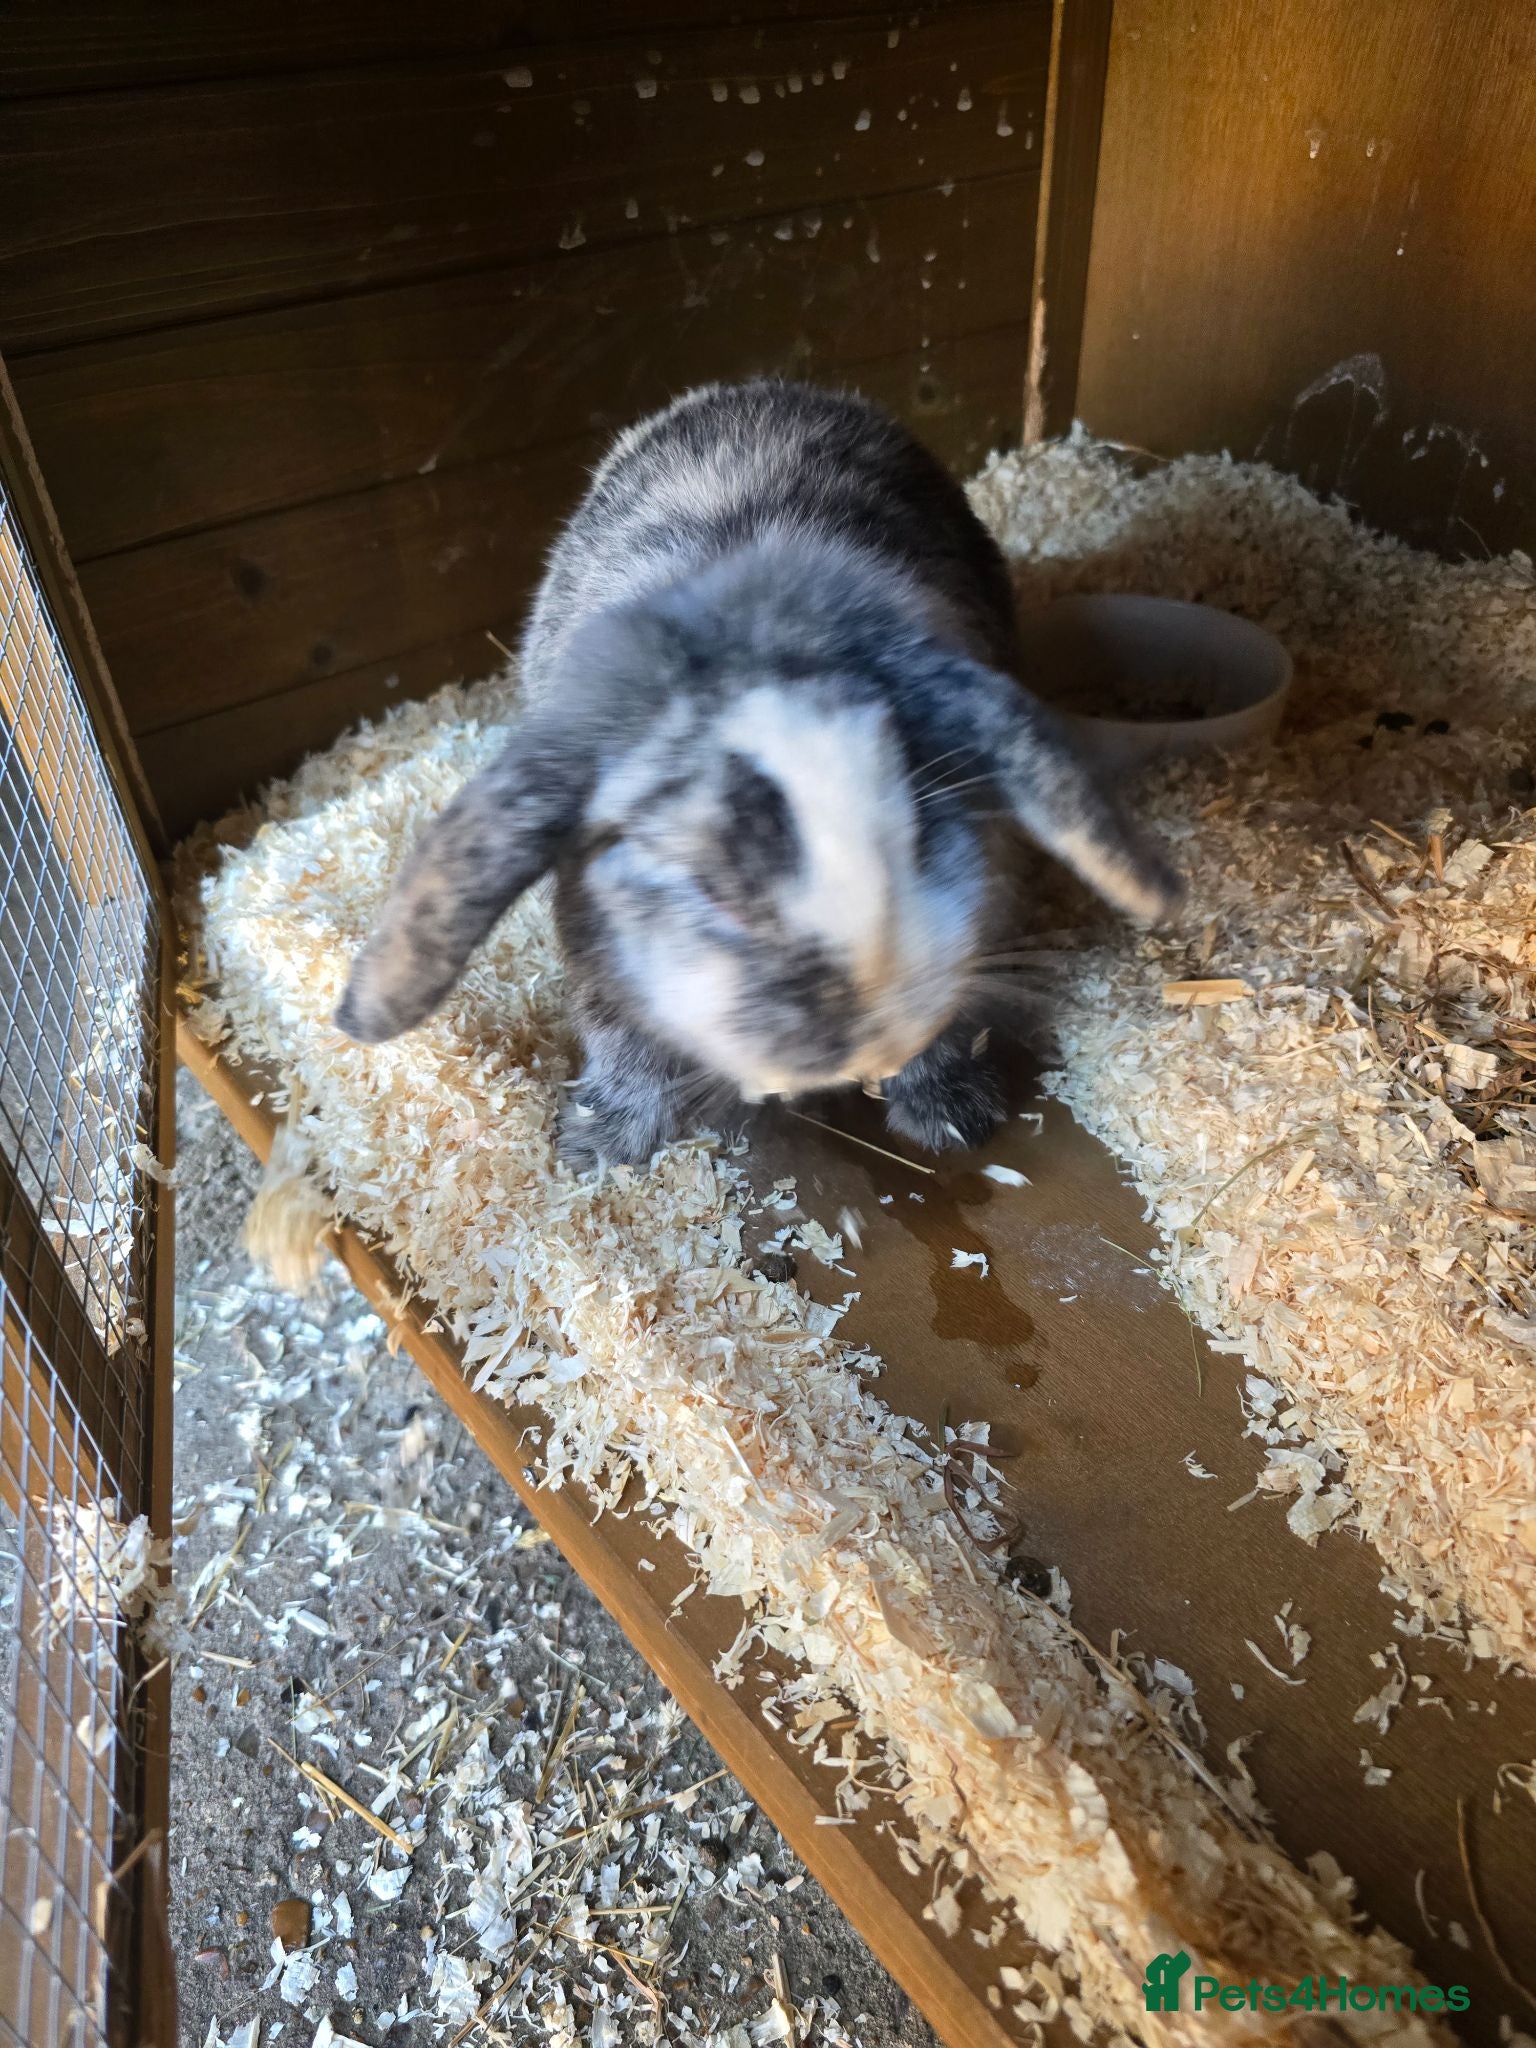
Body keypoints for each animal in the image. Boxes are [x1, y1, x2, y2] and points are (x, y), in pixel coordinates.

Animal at [335, 380, 1180, 1166]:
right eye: (707, 889)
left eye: (916, 841)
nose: (858, 1040)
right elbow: (618, 1031)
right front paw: (602, 1144)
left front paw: (948, 1113)